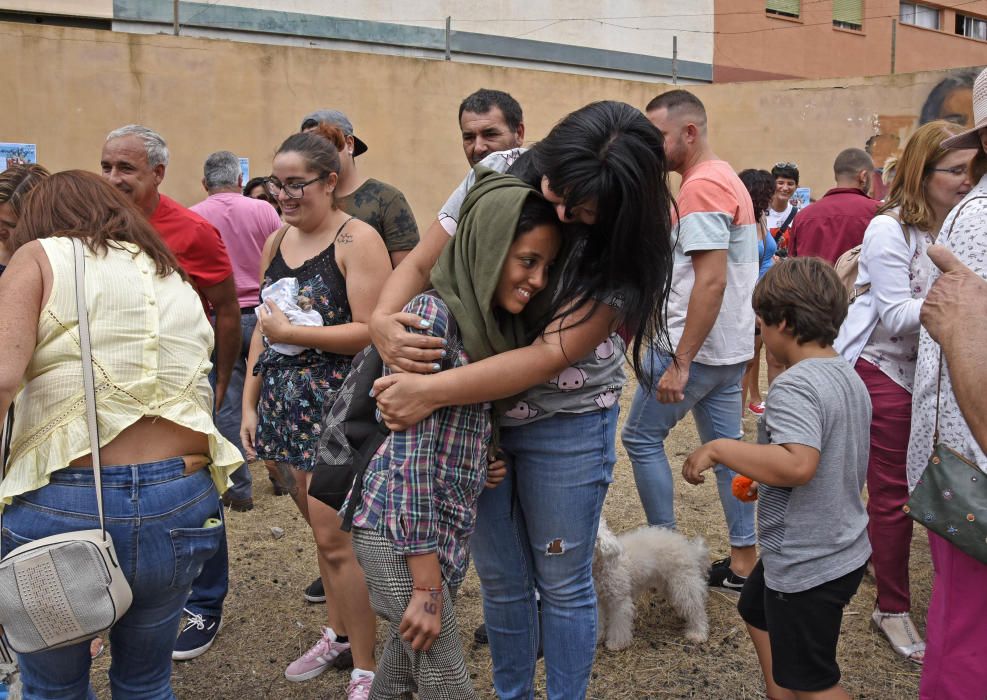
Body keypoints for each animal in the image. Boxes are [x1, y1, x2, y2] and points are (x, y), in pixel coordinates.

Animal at [596, 516, 712, 648]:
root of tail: (690, 549)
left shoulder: (619, 601)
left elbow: (619, 625)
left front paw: (616, 643)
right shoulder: (598, 601)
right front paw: (597, 637)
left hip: (684, 584)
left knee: (696, 609)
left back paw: (698, 633)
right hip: (670, 584)